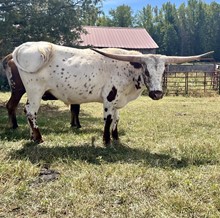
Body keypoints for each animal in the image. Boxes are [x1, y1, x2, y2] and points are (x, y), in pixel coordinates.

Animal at [9, 41, 213, 146]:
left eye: (163, 71)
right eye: (146, 70)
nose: (157, 94)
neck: (128, 70)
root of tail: (23, 47)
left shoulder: (118, 101)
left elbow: (117, 118)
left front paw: (116, 137)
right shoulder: (109, 98)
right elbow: (108, 119)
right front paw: (106, 140)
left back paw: (31, 135)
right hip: (35, 91)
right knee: (30, 111)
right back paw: (38, 137)